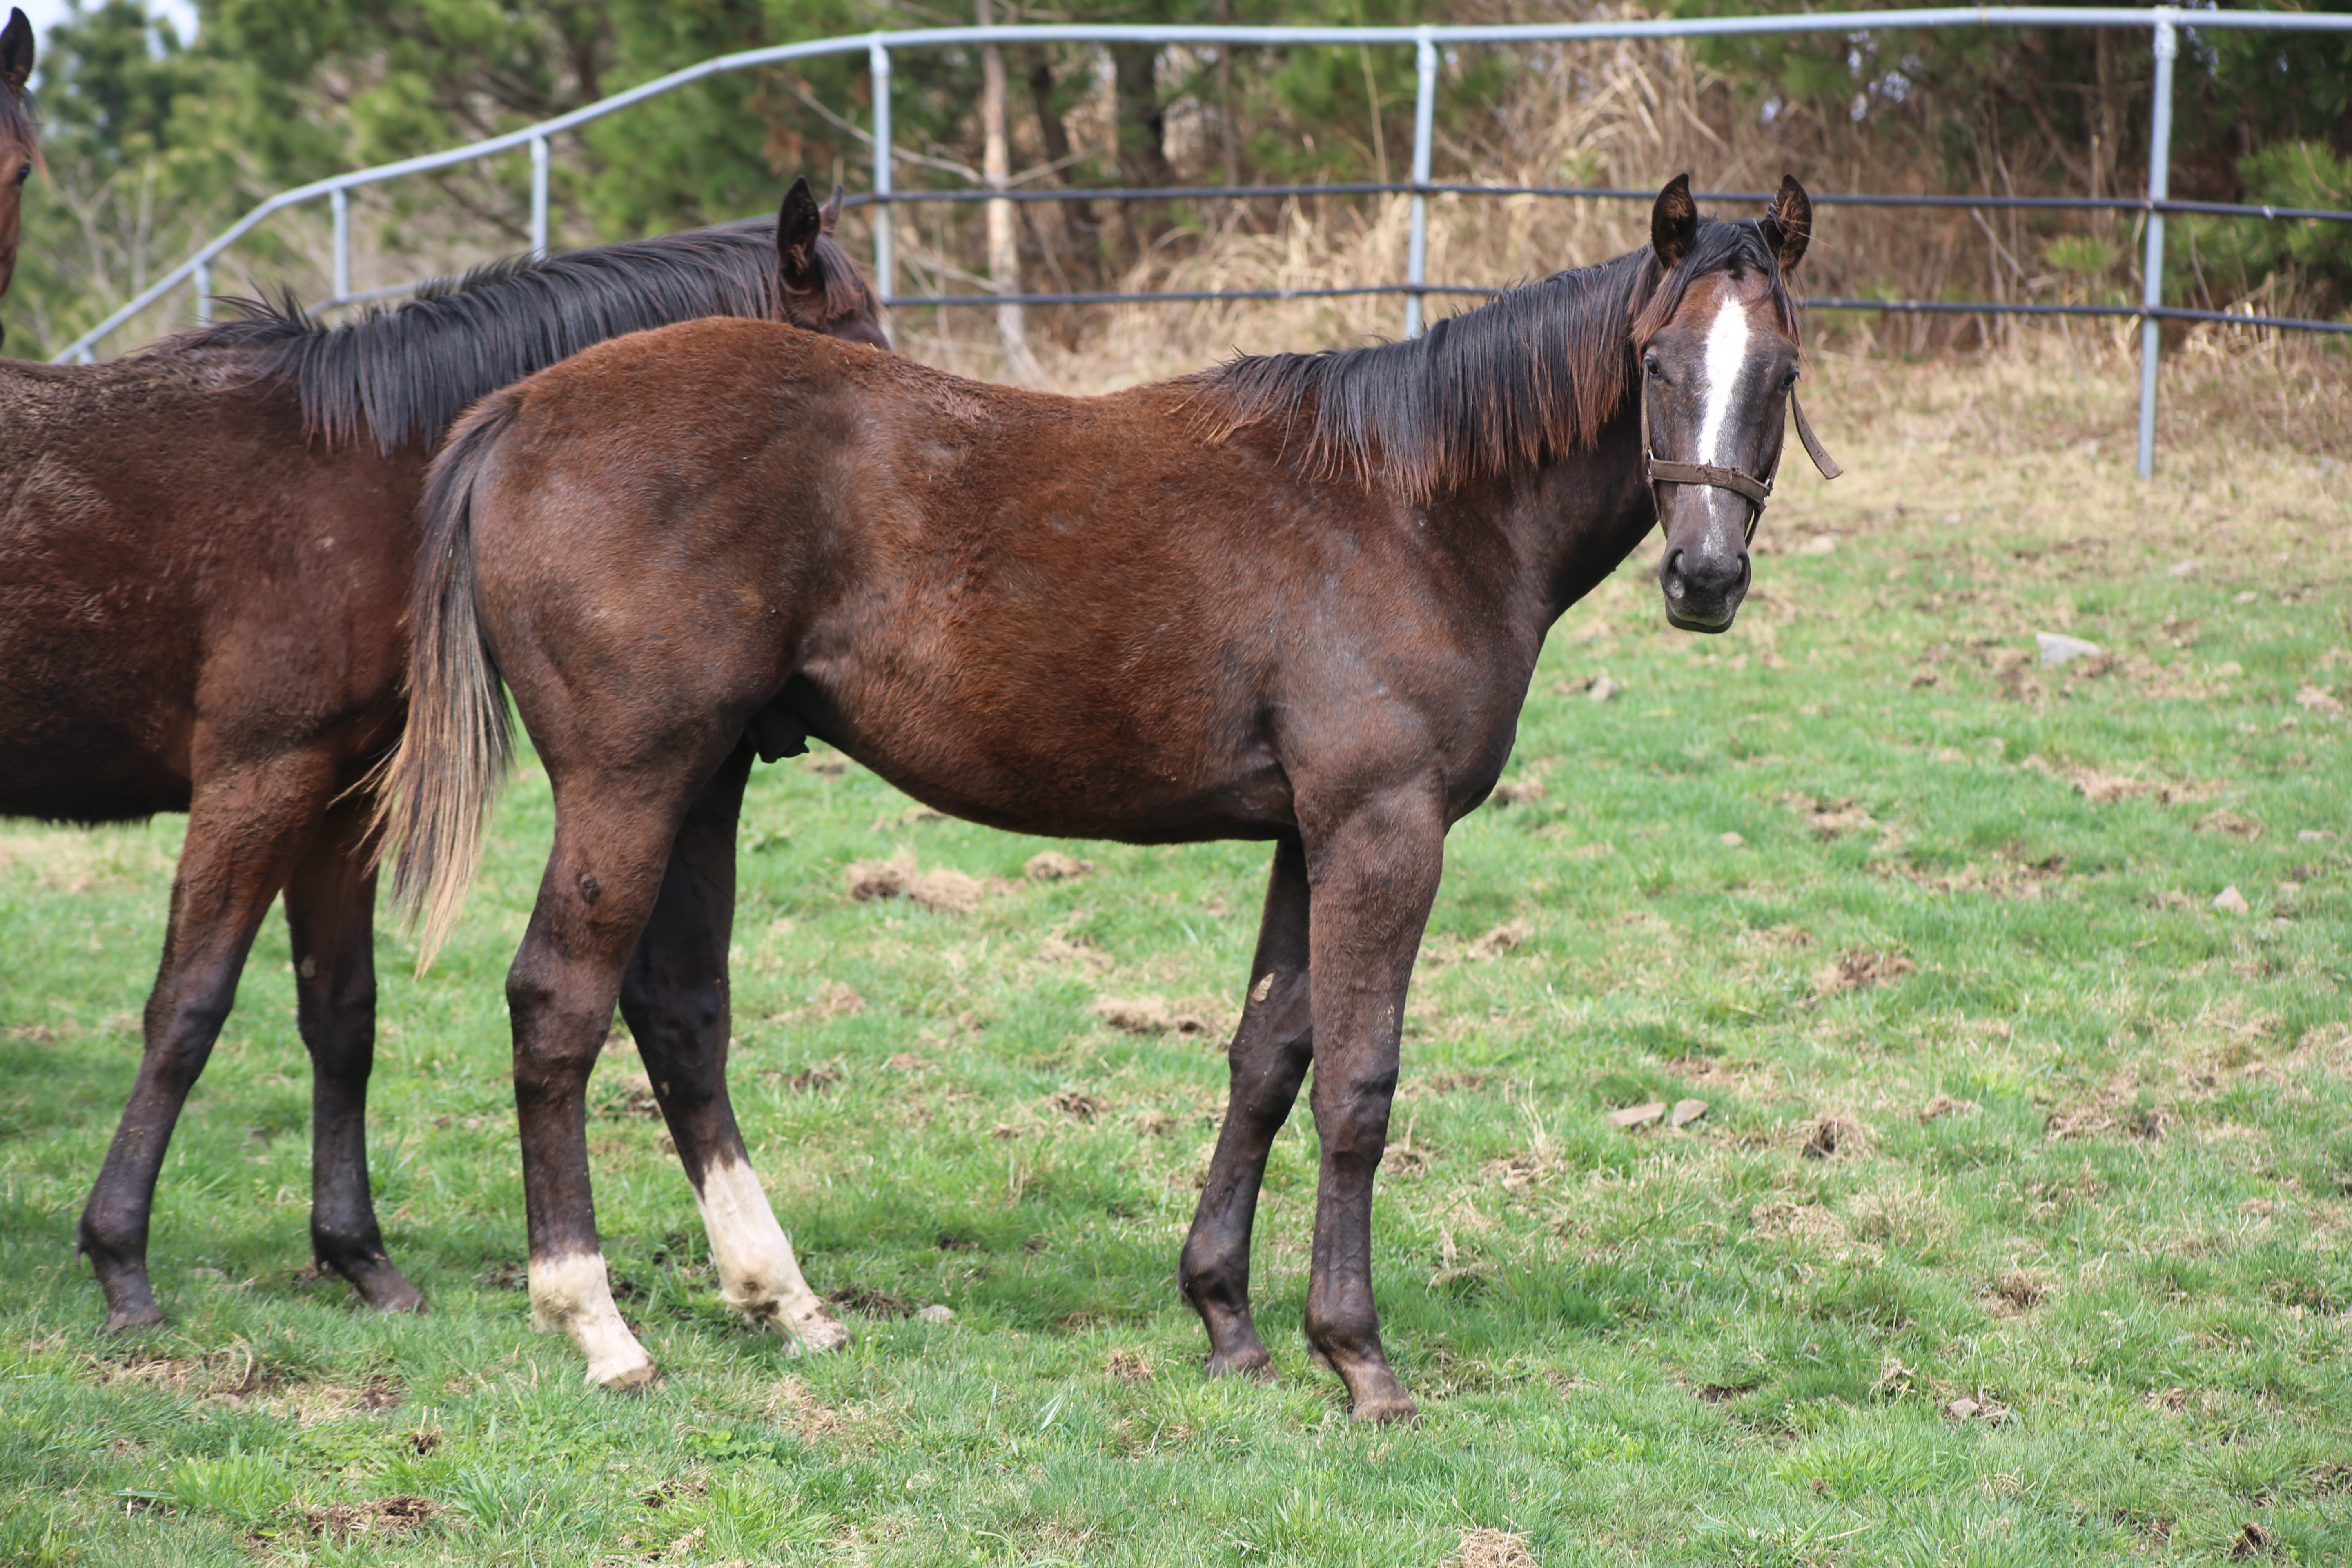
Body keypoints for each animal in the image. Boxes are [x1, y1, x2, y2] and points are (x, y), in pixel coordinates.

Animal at [0, 181, 884, 1335]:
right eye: (858, 345)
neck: (364, 474)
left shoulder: (334, 796)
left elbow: (343, 1016)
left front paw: (359, 1258)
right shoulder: (257, 776)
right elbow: (186, 1010)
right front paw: (122, 1263)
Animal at [381, 177, 1834, 1420]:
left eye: (1781, 374)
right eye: (1658, 365)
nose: (1706, 579)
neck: (1418, 511)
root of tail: (517, 413)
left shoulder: (1307, 837)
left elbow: (1266, 1059)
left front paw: (1229, 1321)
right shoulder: (1384, 828)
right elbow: (1357, 1085)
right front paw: (1358, 1356)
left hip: (707, 778)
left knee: (675, 1010)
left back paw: (784, 1301)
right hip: (630, 779)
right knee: (559, 1004)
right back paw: (598, 1324)